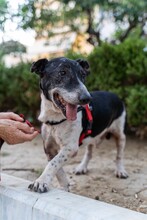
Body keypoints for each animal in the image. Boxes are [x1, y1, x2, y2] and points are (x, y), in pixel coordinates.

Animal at [28, 57, 127, 192]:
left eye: (83, 75)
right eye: (62, 73)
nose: (87, 98)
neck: (55, 120)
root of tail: (114, 95)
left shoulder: (70, 147)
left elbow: (53, 163)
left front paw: (41, 181)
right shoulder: (49, 148)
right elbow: (56, 167)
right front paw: (64, 187)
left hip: (119, 134)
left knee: (119, 154)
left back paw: (120, 170)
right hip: (91, 137)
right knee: (89, 152)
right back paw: (82, 167)